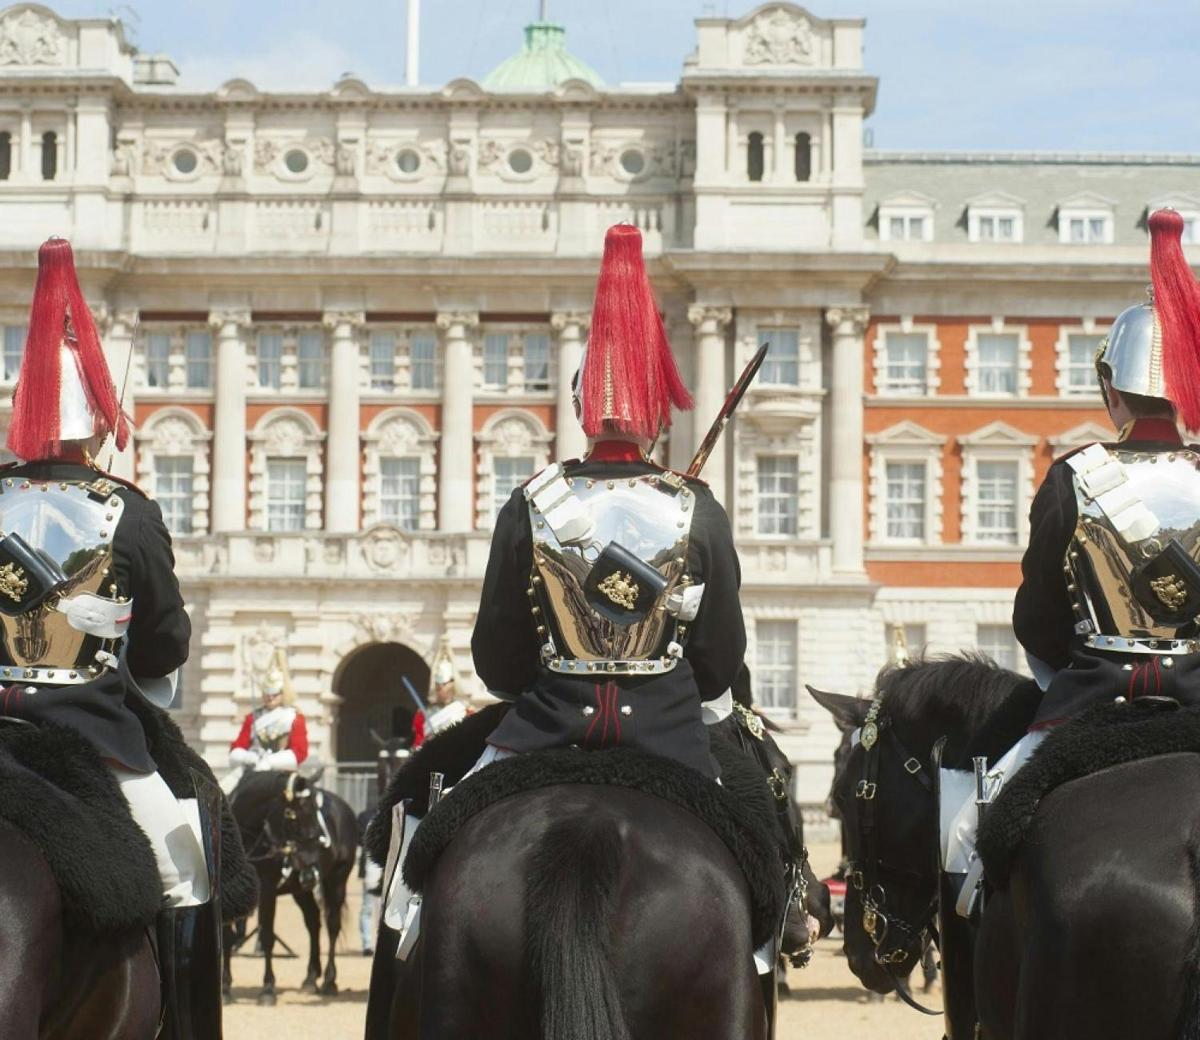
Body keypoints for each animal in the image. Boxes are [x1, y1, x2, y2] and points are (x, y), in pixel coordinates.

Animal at [223, 772, 357, 1007]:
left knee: (332, 926)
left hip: (336, 882)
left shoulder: (267, 892)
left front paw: (268, 989)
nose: (311, 869)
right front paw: (225, 988)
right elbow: (227, 938)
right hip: (300, 890)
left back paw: (329, 981)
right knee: (313, 922)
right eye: (294, 815)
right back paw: (311, 978)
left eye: (316, 813)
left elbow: (267, 937)